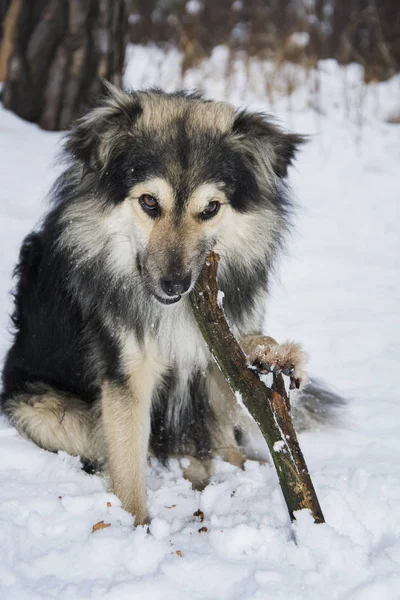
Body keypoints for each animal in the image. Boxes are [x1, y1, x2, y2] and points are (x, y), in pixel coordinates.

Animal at [0, 85, 340, 524]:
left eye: (210, 208)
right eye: (148, 201)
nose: (176, 284)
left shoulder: (219, 344)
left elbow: (239, 364)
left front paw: (273, 354)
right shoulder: (127, 371)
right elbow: (127, 463)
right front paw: (135, 525)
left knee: (220, 436)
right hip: (44, 410)